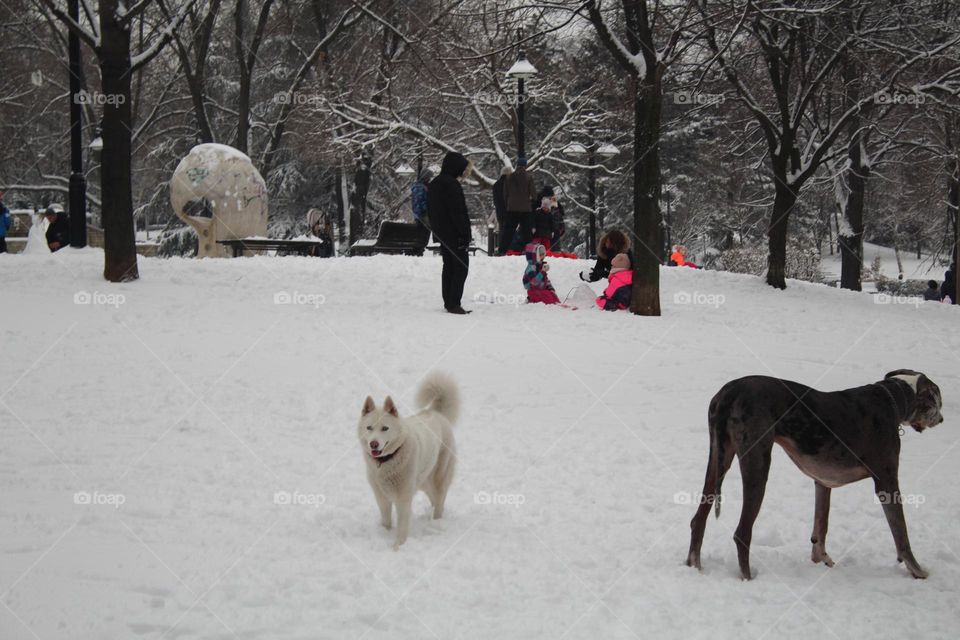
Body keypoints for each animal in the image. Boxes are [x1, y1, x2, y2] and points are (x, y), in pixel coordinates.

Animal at [358, 372, 460, 548]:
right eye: (369, 428)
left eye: (385, 428)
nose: (373, 444)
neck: (389, 460)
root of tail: (435, 412)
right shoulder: (381, 497)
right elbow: (386, 521)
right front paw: (385, 533)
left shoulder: (403, 499)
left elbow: (402, 527)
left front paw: (398, 547)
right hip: (424, 481)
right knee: (433, 499)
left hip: (438, 478)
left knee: (440, 502)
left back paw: (436, 523)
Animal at [688, 370, 944, 580]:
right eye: (938, 401)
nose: (941, 419)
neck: (893, 399)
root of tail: (730, 391)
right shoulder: (887, 482)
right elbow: (901, 533)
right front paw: (917, 570)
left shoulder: (822, 482)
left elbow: (821, 525)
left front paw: (821, 559)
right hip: (757, 464)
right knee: (742, 533)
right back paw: (748, 578)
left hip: (718, 459)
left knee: (698, 519)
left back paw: (694, 566)